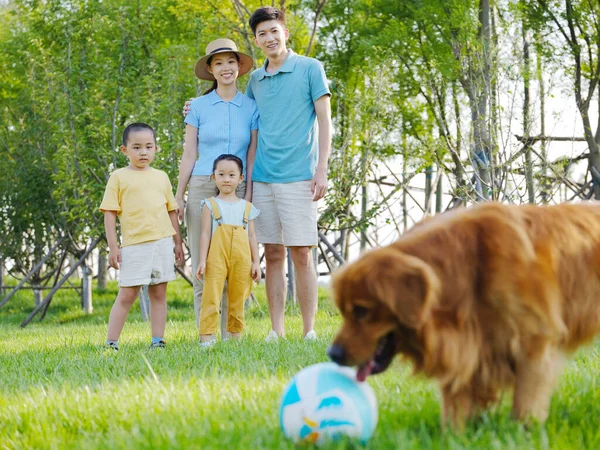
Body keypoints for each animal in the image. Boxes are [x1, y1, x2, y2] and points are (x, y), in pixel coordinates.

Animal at [328, 202, 600, 428]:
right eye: (343, 311)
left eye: (361, 311)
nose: (332, 354)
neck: (470, 268)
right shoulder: (464, 345)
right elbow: (455, 402)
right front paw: (453, 435)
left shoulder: (533, 343)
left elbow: (525, 403)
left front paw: (523, 433)